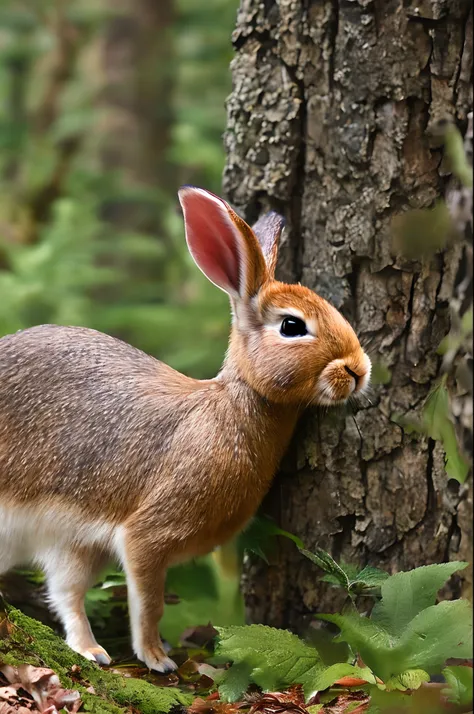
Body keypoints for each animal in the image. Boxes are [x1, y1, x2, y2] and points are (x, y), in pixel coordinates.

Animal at [0, 186, 370, 672]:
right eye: (292, 326)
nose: (360, 370)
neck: (232, 403)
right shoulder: (146, 537)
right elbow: (150, 604)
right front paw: (158, 659)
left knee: (66, 594)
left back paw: (92, 651)